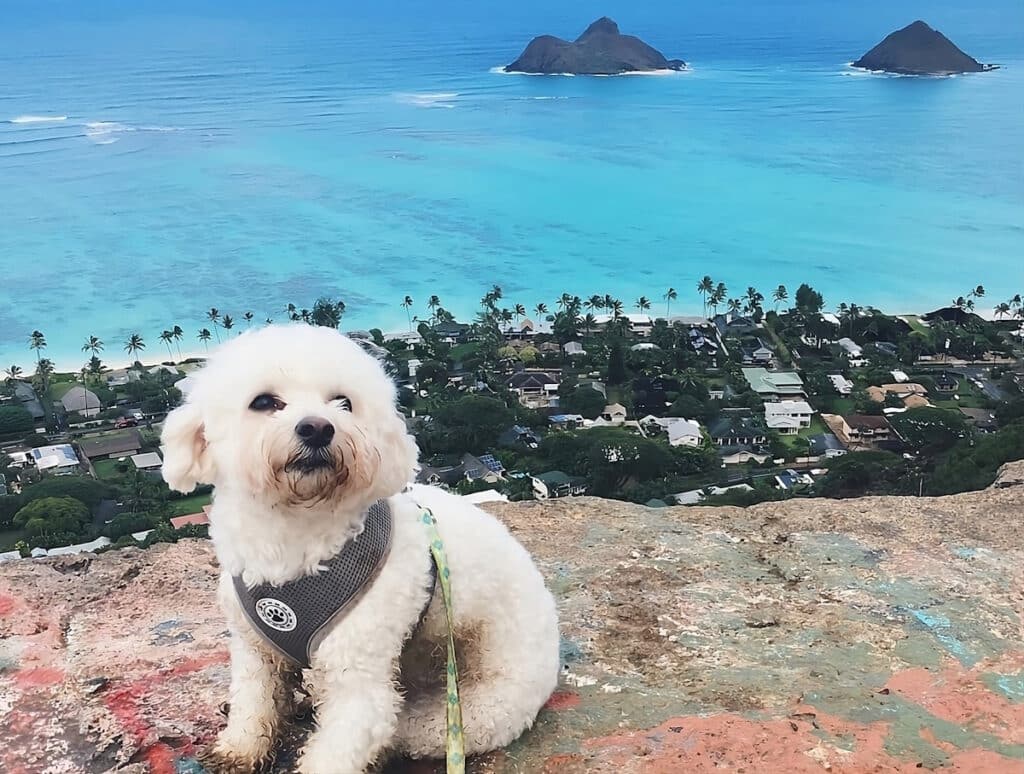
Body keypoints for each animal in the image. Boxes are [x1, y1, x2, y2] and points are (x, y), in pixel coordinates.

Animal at [159, 323, 561, 769]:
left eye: (343, 403)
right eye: (263, 402)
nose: (318, 428)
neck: (293, 534)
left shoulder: (359, 674)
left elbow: (339, 745)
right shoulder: (254, 648)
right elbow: (254, 698)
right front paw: (240, 747)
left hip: (466, 712)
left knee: (399, 729)